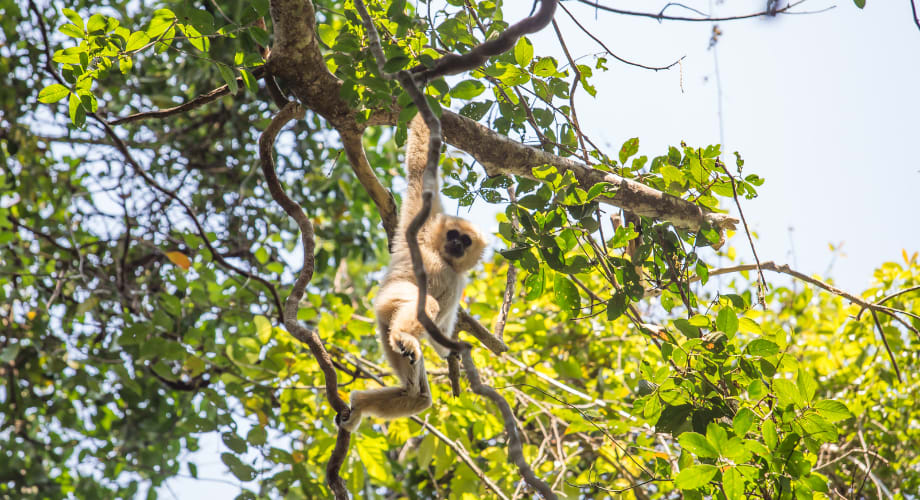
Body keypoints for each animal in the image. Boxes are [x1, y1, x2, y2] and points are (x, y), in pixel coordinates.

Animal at [337, 115, 487, 432]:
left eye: (466, 241)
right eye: (453, 234)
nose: (456, 244)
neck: (444, 257)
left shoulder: (459, 280)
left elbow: (441, 334)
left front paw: (451, 353)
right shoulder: (423, 225)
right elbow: (419, 169)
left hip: (385, 332)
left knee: (417, 395)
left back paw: (359, 403)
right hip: (391, 297)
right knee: (424, 304)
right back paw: (404, 335)